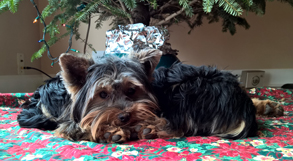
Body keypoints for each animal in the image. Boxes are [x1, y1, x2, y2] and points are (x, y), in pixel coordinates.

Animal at [16, 49, 282, 143]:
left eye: (132, 90)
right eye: (102, 94)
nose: (124, 117)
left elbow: (79, 125)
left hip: (188, 91)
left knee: (176, 125)